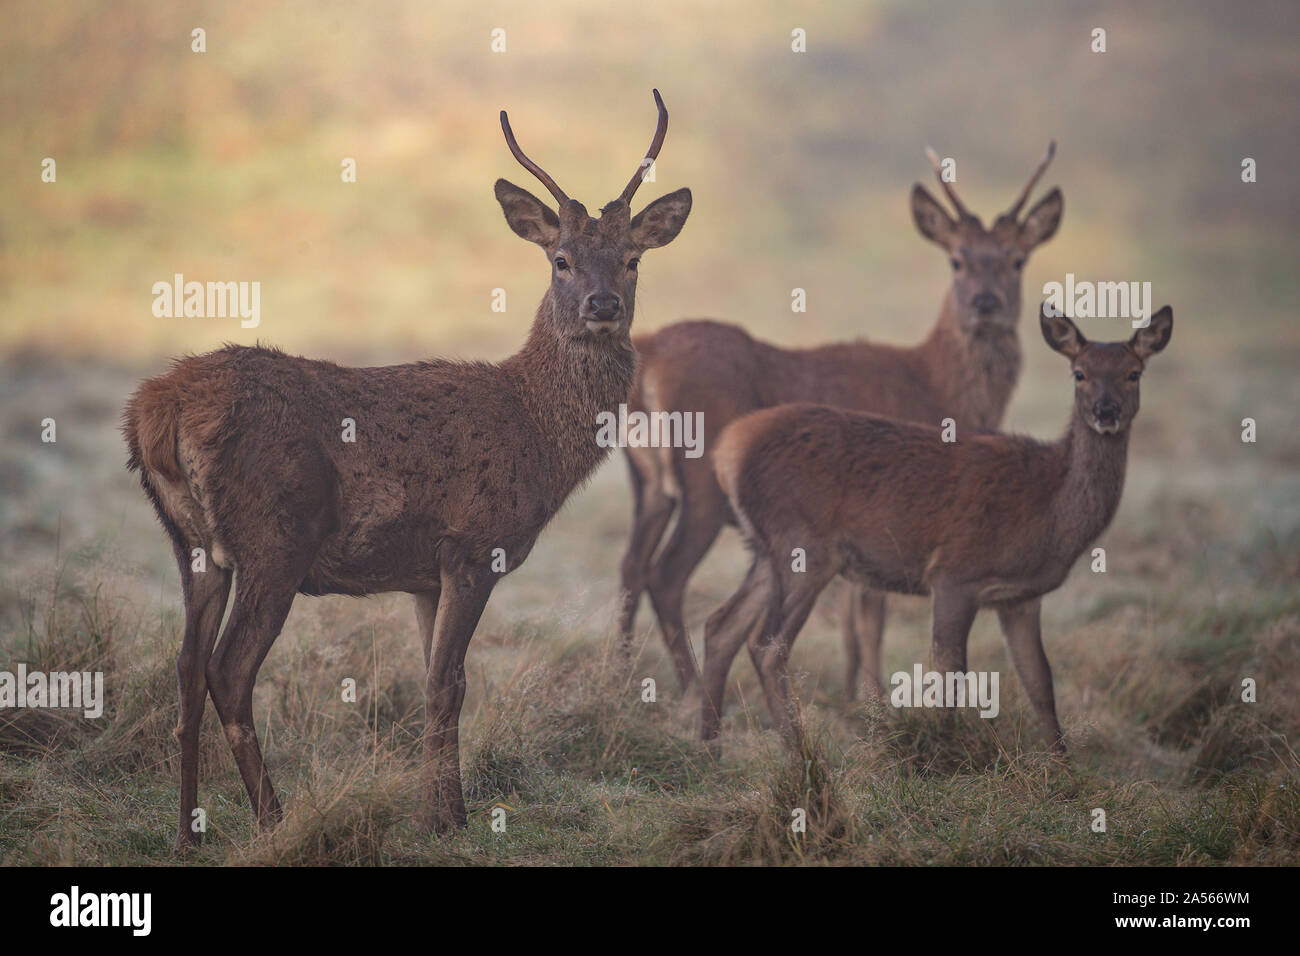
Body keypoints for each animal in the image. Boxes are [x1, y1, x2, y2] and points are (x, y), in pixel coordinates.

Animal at [121, 91, 692, 850]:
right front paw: (448, 819)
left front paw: (441, 811)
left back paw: (188, 834)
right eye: (561, 260)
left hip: (191, 542)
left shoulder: (424, 574)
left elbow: (438, 679)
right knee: (228, 670)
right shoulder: (473, 545)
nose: (603, 305)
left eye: (631, 259)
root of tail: (156, 410)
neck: (535, 431)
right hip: (275, 536)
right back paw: (278, 820)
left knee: (185, 668)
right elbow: (447, 684)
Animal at [618, 145, 1063, 697]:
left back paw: (619, 678)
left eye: (1017, 259)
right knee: (666, 575)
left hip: (647, 477)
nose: (986, 303)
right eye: (956, 260)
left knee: (631, 566)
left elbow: (854, 619)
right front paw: (872, 698)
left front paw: (851, 697)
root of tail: (651, 354)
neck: (936, 387)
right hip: (701, 478)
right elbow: (871, 616)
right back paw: (690, 688)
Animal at [698, 303, 1174, 747]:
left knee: (721, 626)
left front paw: (1063, 766)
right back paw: (799, 756)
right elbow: (949, 677)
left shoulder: (1020, 598)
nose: (1106, 411)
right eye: (1079, 373)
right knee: (766, 646)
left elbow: (1040, 682)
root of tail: (728, 451)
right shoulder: (953, 573)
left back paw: (710, 748)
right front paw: (945, 755)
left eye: (1133, 373)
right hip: (805, 545)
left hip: (766, 549)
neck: (1048, 509)